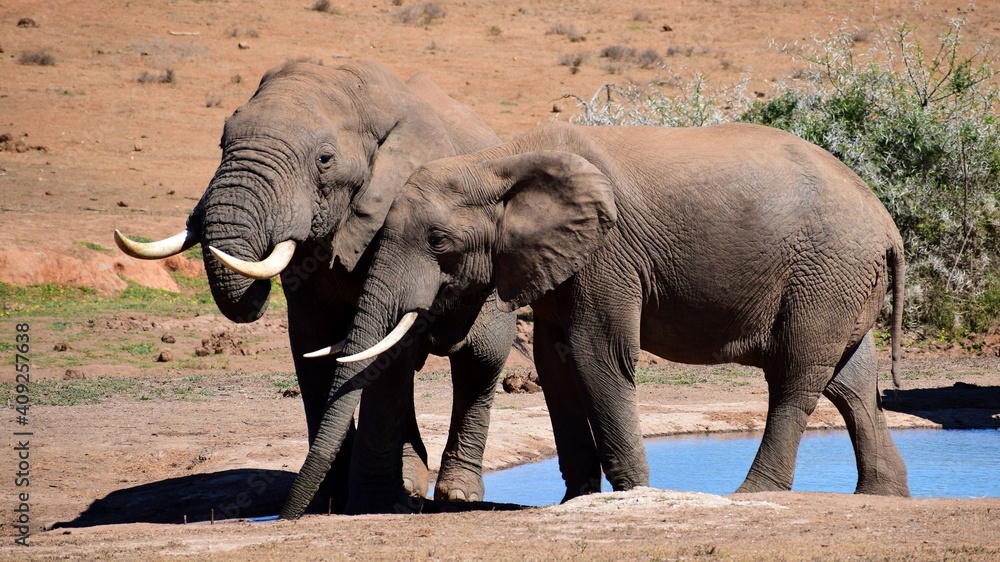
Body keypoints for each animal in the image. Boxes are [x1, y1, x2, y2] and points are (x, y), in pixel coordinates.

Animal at [113, 61, 516, 515]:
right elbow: (310, 343)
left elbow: (386, 353)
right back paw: (411, 484)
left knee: (479, 362)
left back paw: (456, 494)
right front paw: (330, 501)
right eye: (221, 142)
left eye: (324, 160)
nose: (286, 516)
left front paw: (373, 504)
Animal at [306, 121, 911, 504]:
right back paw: (885, 495)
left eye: (438, 242)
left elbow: (598, 355)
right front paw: (576, 498)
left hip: (825, 274)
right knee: (852, 383)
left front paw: (635, 493)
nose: (296, 516)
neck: (502, 160)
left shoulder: (607, 252)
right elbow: (556, 365)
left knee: (795, 379)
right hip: (841, 281)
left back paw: (752, 494)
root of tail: (888, 225)